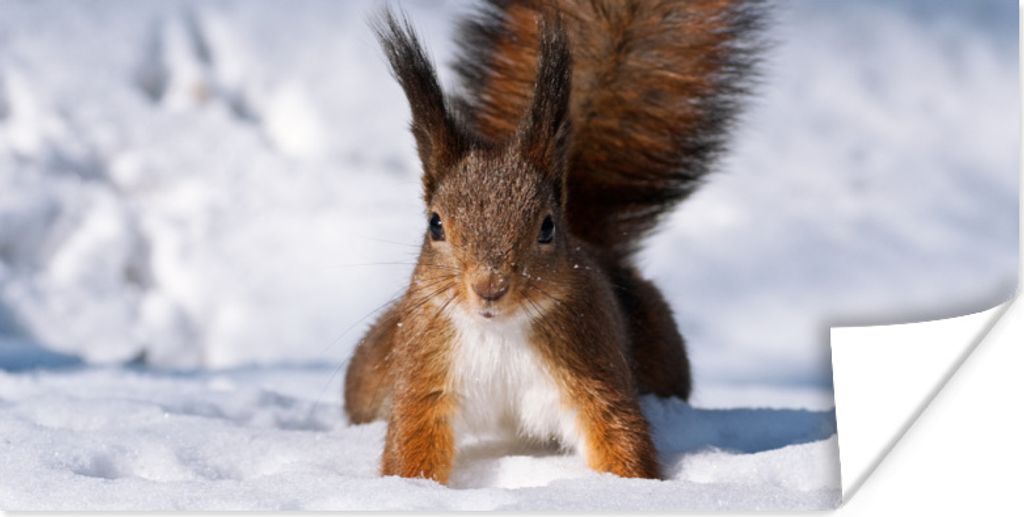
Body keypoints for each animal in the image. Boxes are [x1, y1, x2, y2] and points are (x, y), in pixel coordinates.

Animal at [344, 0, 763, 484]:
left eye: (546, 227)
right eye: (435, 225)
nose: (490, 287)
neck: (500, 332)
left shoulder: (590, 371)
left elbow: (617, 432)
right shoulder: (426, 373)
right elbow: (413, 439)